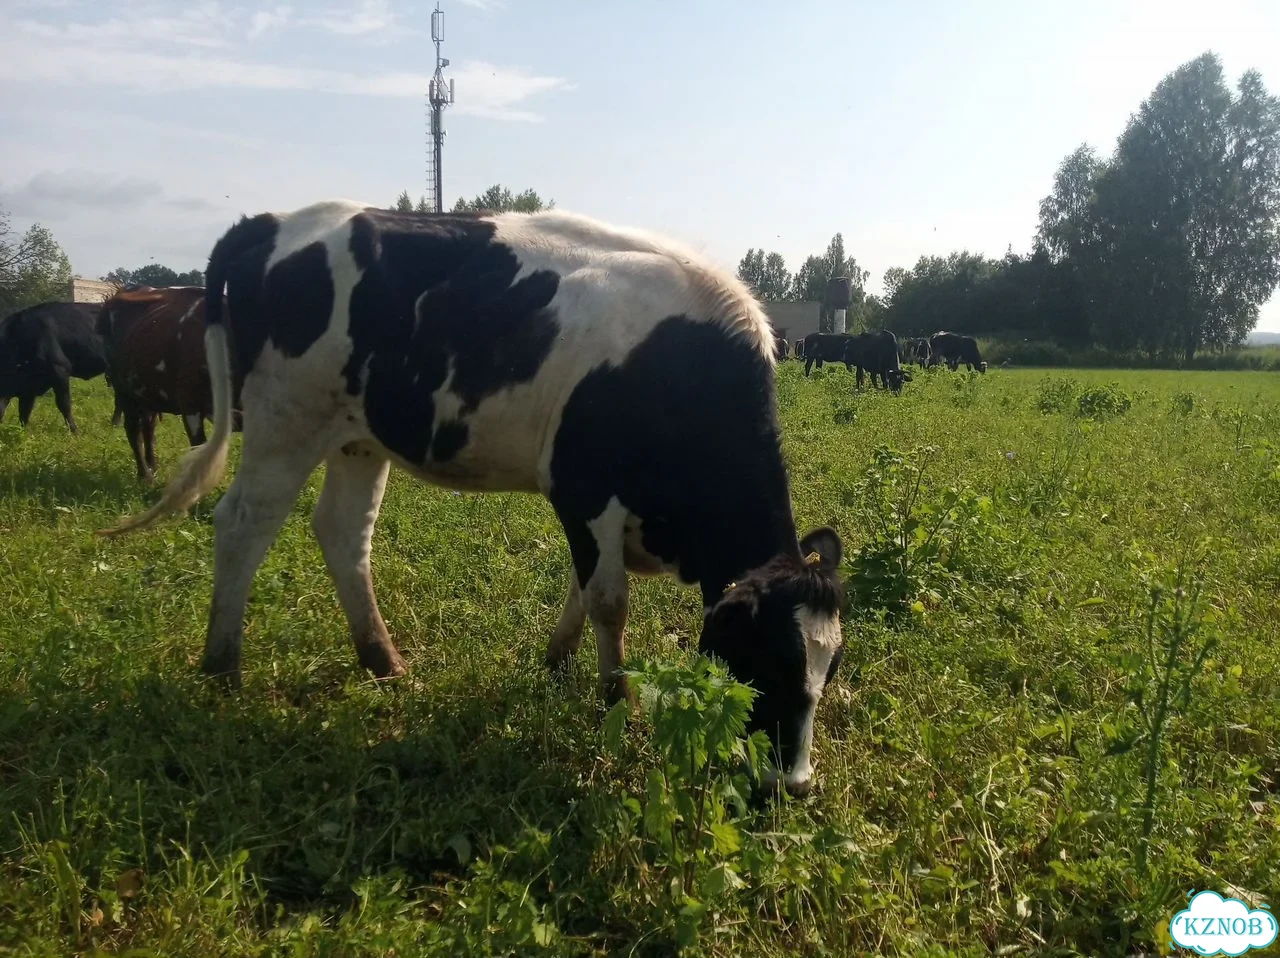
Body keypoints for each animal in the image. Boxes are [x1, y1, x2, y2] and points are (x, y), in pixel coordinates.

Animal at [0, 301, 108, 433]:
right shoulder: (27, 387)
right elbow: (24, 412)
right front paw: (22, 432)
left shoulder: (60, 370)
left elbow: (64, 404)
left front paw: (75, 431)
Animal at [97, 285, 215, 483]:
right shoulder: (191, 404)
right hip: (124, 390)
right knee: (133, 430)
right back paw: (145, 475)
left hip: (148, 395)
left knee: (148, 427)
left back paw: (153, 466)